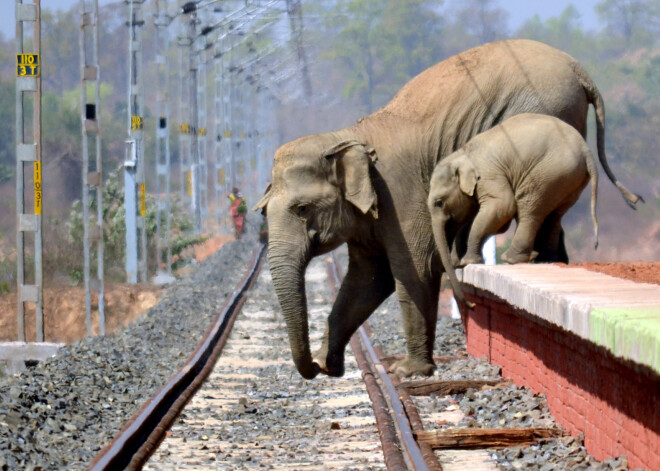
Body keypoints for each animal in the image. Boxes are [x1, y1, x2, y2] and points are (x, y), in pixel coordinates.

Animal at [428, 114, 600, 304]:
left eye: (439, 202)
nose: (471, 304)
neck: (462, 154)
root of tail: (586, 150)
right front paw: (460, 262)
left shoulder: (488, 175)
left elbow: (503, 206)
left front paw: (468, 261)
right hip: (569, 179)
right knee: (554, 215)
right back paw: (544, 260)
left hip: (548, 173)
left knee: (528, 209)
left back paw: (512, 259)